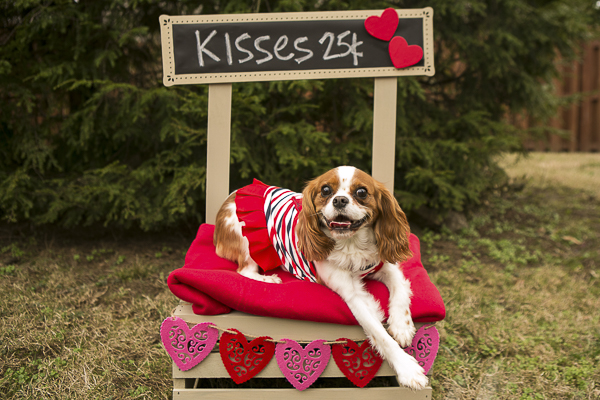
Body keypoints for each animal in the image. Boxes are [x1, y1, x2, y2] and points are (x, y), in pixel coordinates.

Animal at [213, 166, 428, 390]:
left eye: (361, 192)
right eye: (325, 190)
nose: (339, 200)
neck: (351, 244)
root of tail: (229, 198)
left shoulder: (385, 266)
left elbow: (400, 291)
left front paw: (402, 327)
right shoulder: (352, 295)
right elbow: (379, 333)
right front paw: (407, 369)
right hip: (245, 240)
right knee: (244, 270)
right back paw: (269, 279)